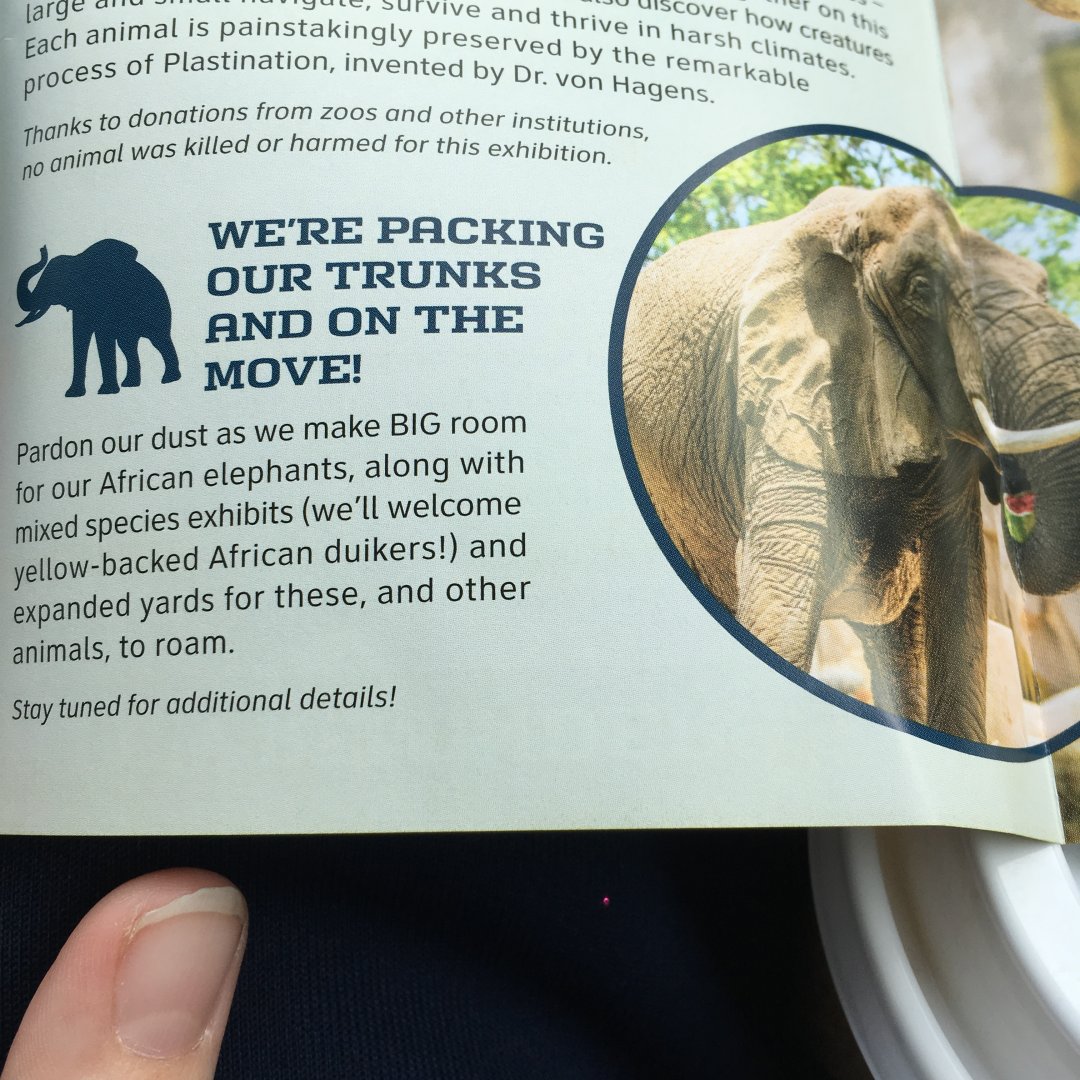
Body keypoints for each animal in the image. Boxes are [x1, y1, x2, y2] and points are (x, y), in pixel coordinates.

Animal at [16, 239, 181, 397]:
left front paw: (106, 391)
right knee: (127, 345)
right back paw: (130, 384)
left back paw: (169, 379)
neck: (78, 259)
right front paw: (73, 394)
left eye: (55, 285)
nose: (42, 248)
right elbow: (80, 336)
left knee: (159, 340)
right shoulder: (80, 306)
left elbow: (103, 336)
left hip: (157, 311)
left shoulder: (106, 301)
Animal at [622, 185, 1080, 743]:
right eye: (920, 289)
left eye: (1042, 286)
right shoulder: (784, 395)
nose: (1009, 485)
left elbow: (959, 597)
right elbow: (781, 595)